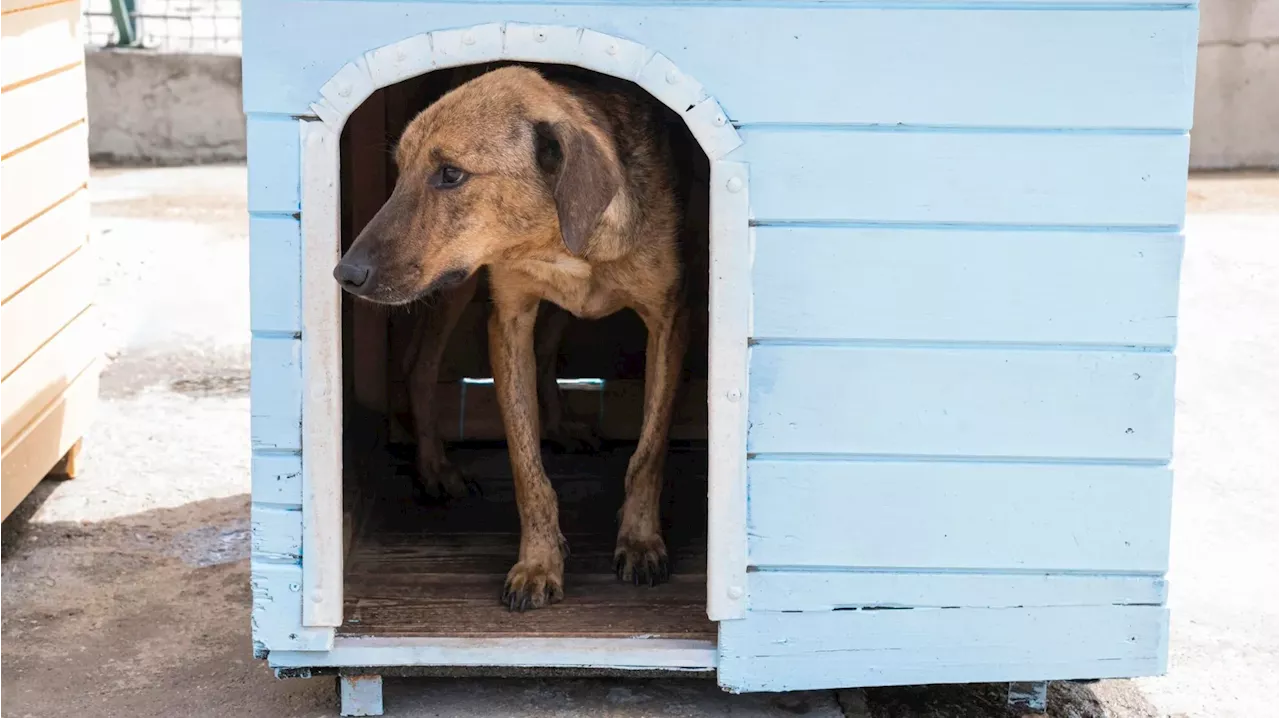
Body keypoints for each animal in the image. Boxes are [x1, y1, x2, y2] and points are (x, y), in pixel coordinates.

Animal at [332, 65, 691, 609]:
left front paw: (640, 541)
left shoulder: (667, 320)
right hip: (455, 287)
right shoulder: (509, 320)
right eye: (399, 171)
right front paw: (539, 563)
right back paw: (435, 468)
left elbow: (648, 453)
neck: (557, 240)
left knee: (543, 354)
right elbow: (527, 467)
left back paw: (560, 428)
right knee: (420, 366)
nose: (344, 274)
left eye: (451, 174)